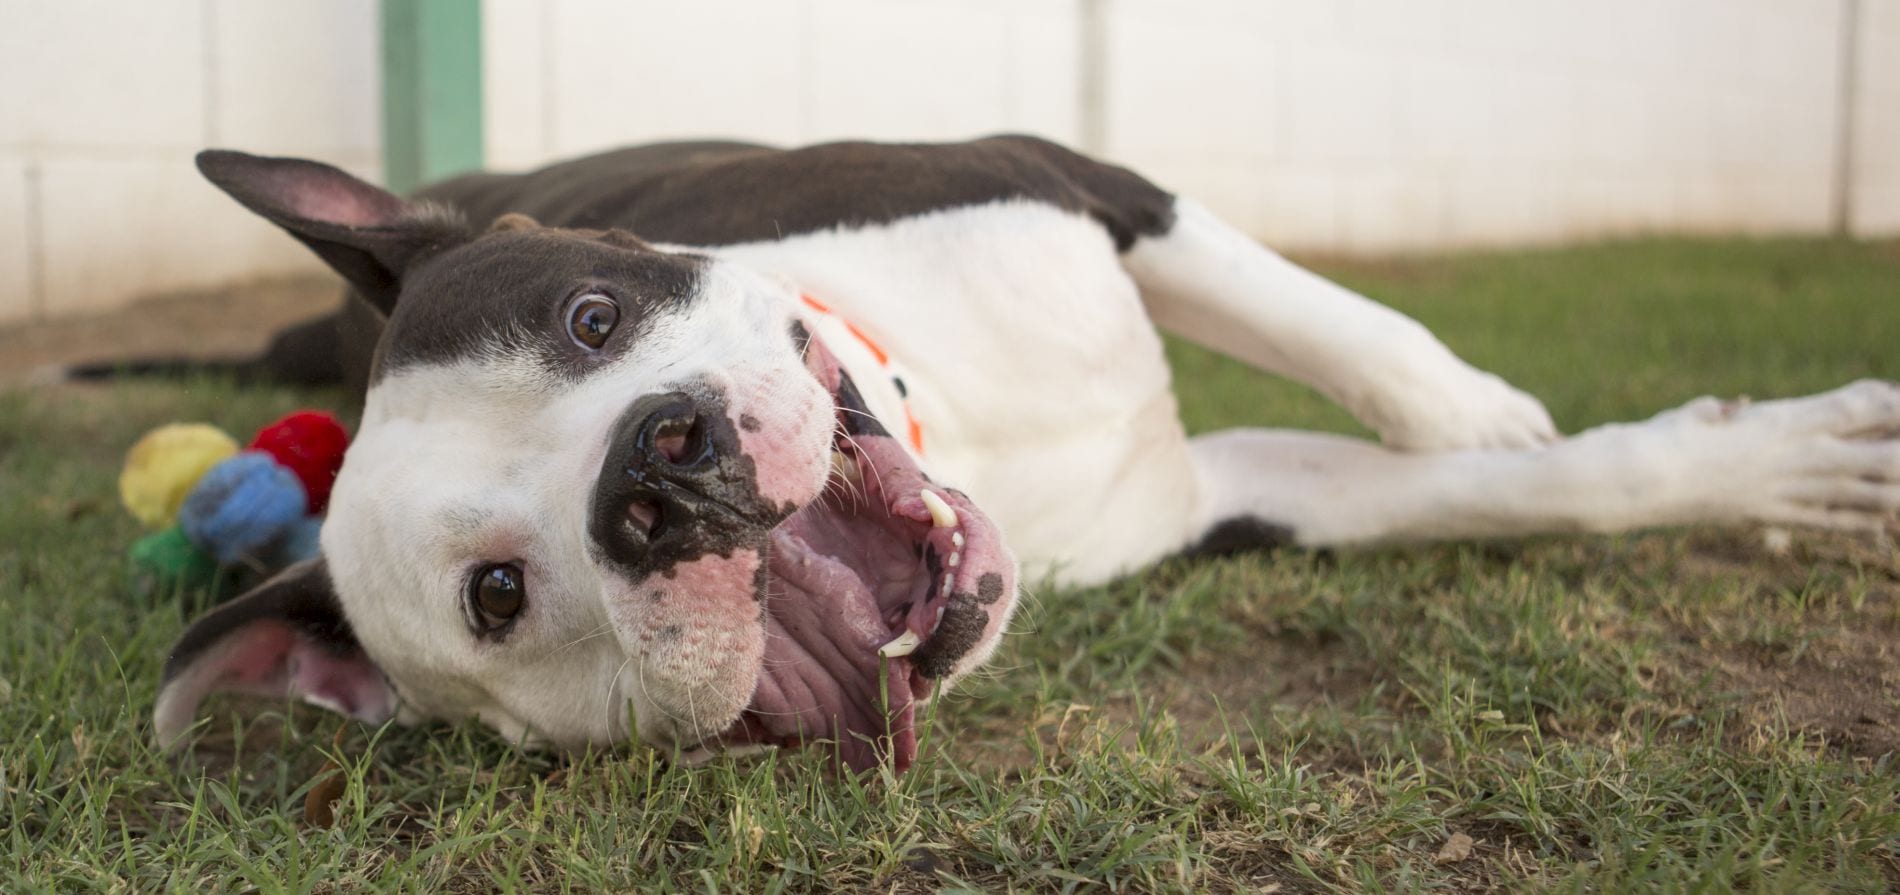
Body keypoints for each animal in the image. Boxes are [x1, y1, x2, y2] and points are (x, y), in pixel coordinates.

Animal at [159, 136, 1900, 775]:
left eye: (592, 320)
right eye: (500, 595)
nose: (658, 466)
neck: (957, 413)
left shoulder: (1064, 175)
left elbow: (1336, 328)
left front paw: (1479, 408)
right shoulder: (1228, 501)